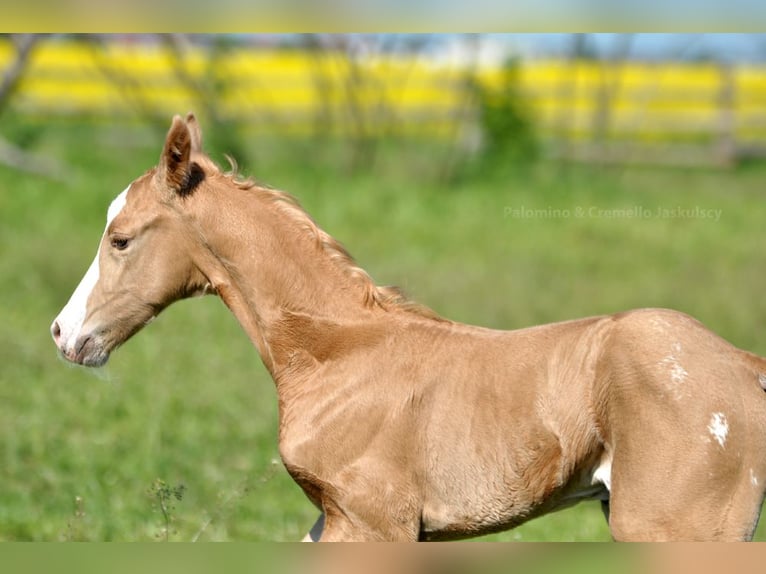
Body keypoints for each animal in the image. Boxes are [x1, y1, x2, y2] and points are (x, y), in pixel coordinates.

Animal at [51, 113, 766, 541]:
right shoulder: (335, 522)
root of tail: (741, 363)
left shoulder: (372, 522)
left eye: (120, 239)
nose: (63, 334)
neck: (337, 354)